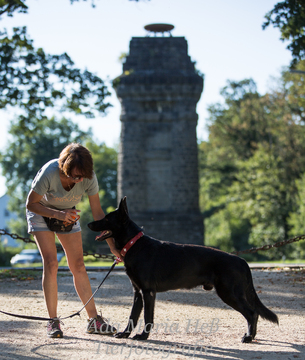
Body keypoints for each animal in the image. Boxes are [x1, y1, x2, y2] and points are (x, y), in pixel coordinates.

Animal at [88, 198, 278, 342]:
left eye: (107, 219)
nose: (89, 223)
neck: (134, 245)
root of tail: (241, 260)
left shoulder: (148, 292)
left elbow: (148, 317)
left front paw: (143, 336)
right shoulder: (138, 293)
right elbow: (132, 317)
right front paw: (125, 334)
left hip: (229, 293)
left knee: (252, 313)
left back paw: (249, 337)